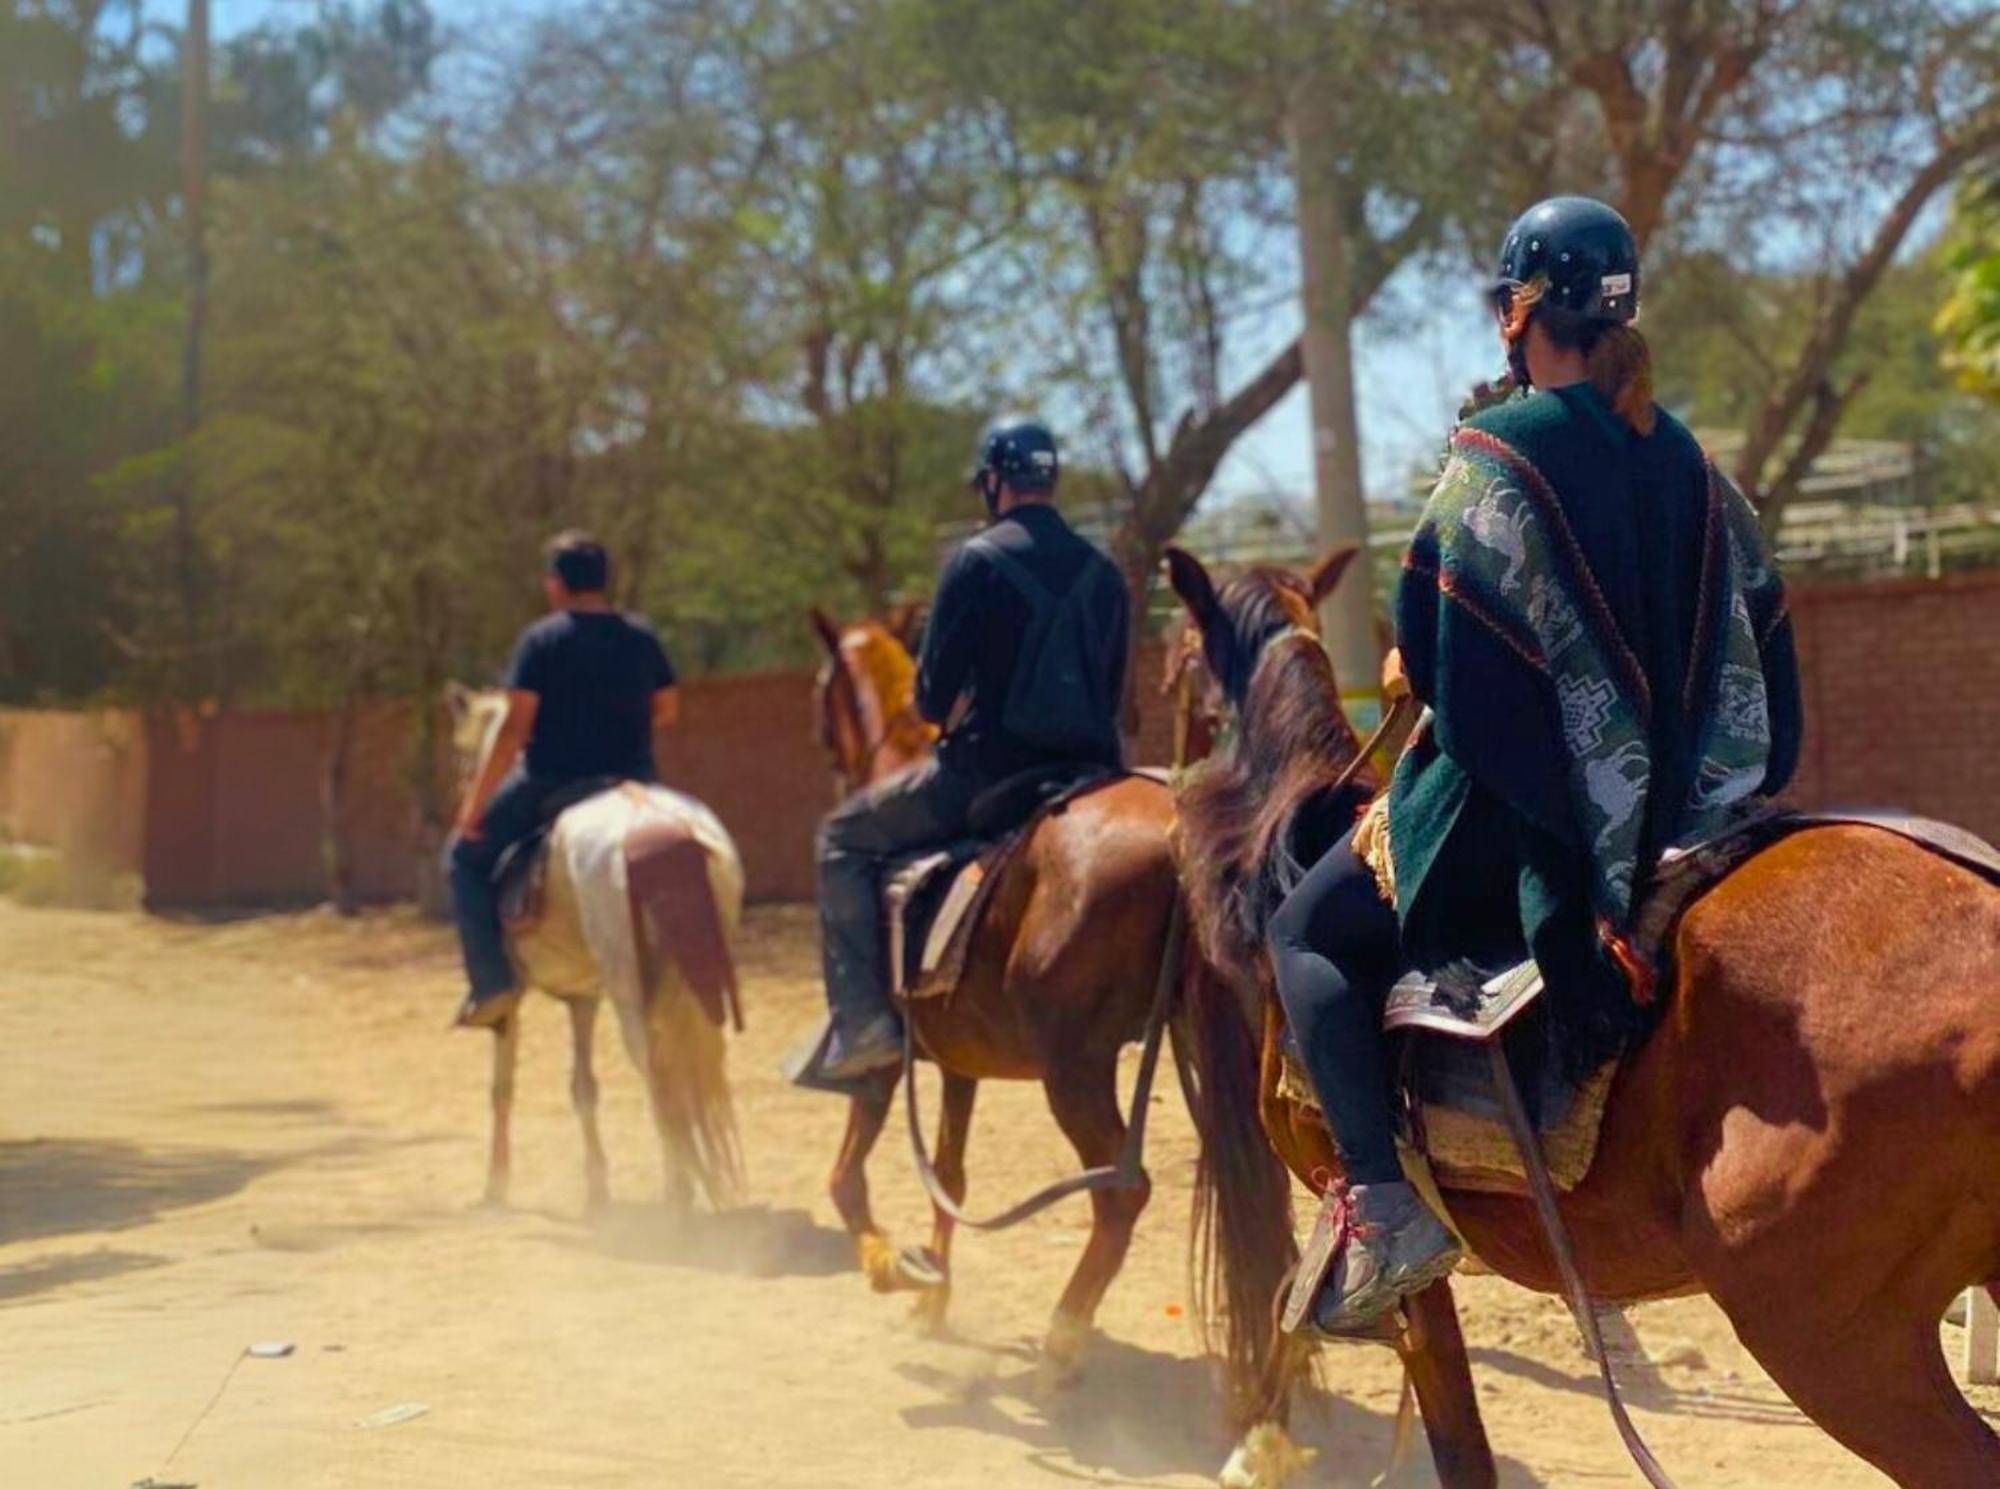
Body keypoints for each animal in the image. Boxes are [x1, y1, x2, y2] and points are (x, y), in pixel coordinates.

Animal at [446, 684, 752, 1208]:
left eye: (465, 757)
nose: (465, 809)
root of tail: (653, 823)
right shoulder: (583, 996)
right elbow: (583, 1087)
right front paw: (596, 1188)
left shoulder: (511, 997)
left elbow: (502, 1087)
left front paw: (496, 1184)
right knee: (685, 1068)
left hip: (630, 990)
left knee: (658, 1072)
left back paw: (679, 1192)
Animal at [812, 600, 1296, 1416]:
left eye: (821, 696)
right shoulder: (959, 1066)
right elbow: (949, 1176)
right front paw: (931, 1296)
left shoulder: (881, 1067)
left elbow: (847, 1178)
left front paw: (889, 1266)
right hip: (1210, 1052)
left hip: (1076, 1069)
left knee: (1123, 1192)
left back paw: (1062, 1344)